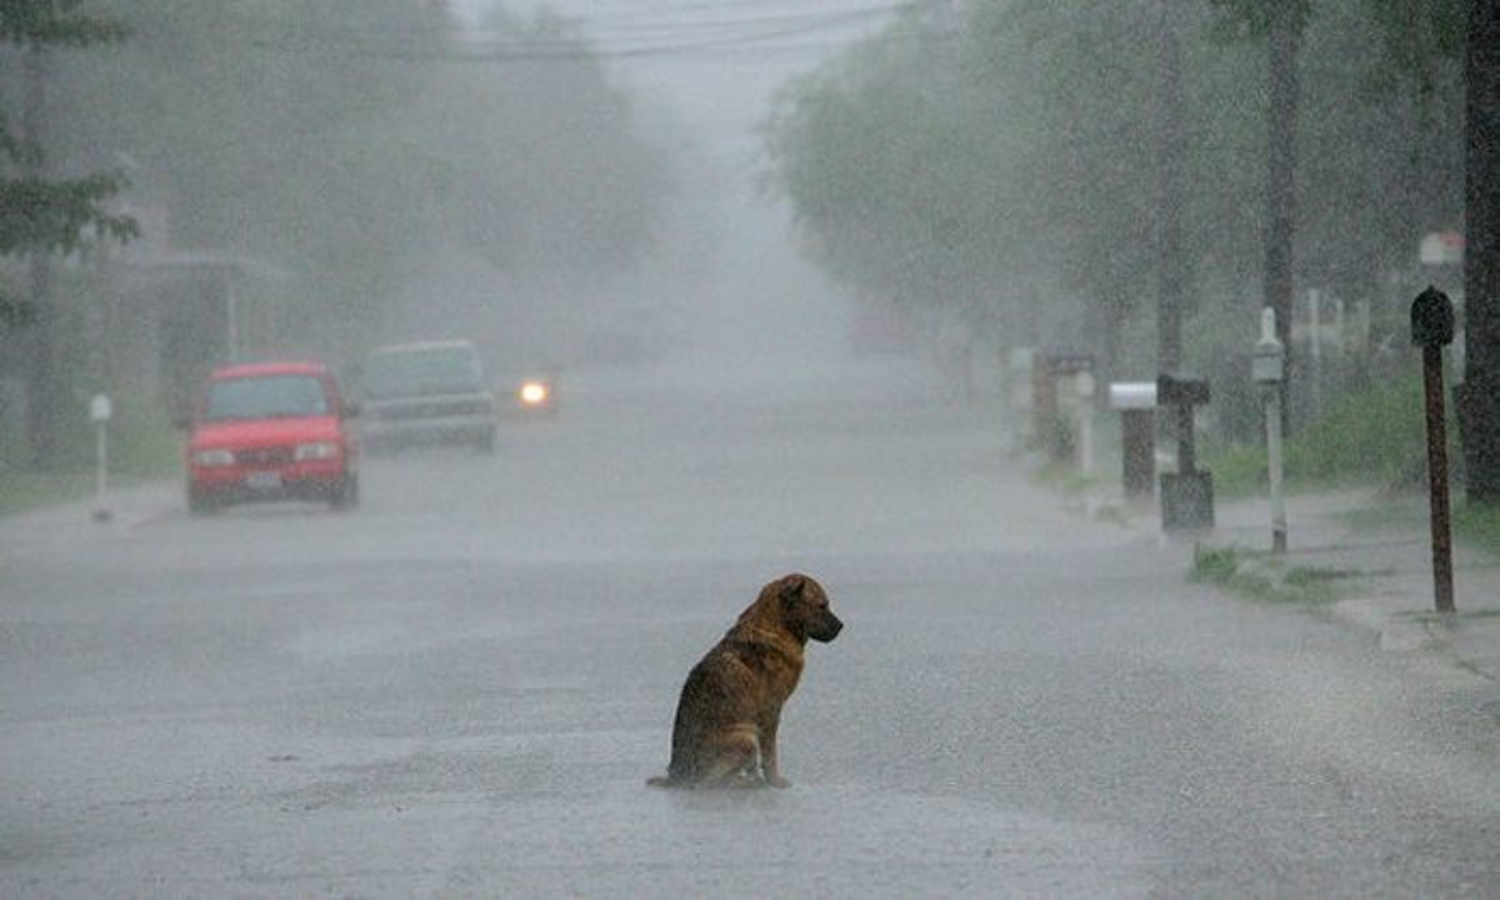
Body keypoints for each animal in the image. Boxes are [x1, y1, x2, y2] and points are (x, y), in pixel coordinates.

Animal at [648, 576, 846, 786]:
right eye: (821, 606)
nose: (842, 626)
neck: (775, 627)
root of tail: (677, 775)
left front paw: (760, 777)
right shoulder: (770, 712)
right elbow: (770, 755)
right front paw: (774, 781)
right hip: (745, 739)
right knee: (709, 782)